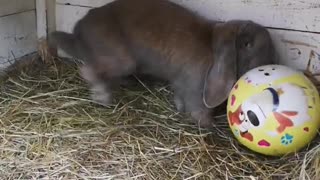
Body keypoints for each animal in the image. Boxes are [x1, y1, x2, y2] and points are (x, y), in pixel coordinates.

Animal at [48, 0, 276, 127]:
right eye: (249, 45)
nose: (272, 62)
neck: (213, 45)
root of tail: (78, 31)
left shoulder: (181, 83)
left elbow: (180, 99)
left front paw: (180, 109)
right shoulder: (195, 88)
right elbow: (199, 109)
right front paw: (207, 125)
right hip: (121, 59)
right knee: (89, 70)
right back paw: (103, 98)